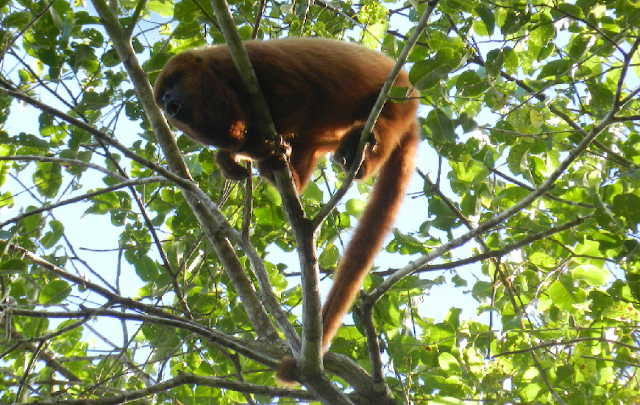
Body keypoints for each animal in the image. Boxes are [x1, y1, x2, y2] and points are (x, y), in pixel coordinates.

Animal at [154, 39, 420, 384]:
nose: (168, 102)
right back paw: (291, 169)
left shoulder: (245, 61)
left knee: (383, 121)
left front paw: (256, 146)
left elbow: (297, 94)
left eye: (174, 82)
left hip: (399, 97)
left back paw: (361, 146)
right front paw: (232, 156)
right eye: (162, 96)